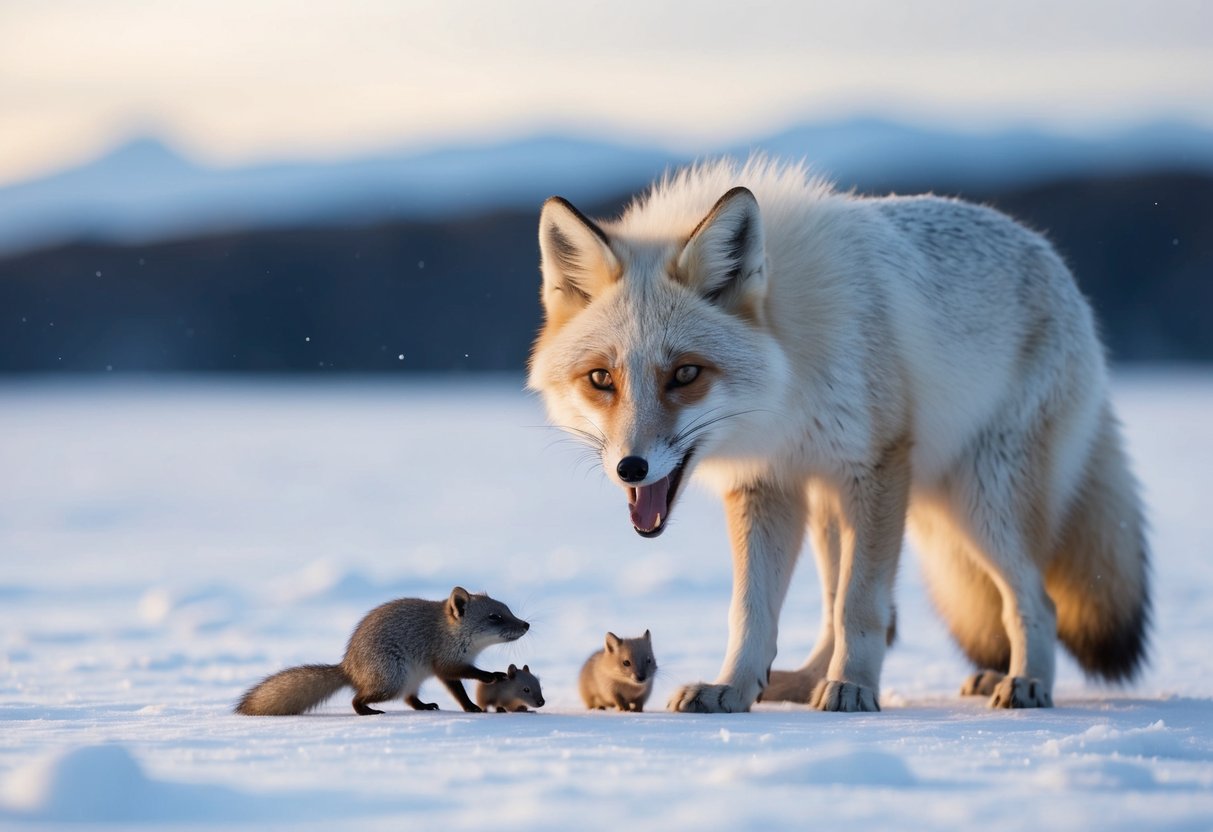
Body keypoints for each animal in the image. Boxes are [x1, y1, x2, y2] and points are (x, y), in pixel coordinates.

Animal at [527, 156, 1149, 713]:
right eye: (602, 379)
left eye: (684, 374)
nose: (629, 468)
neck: (786, 386)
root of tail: (1054, 262)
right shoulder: (767, 484)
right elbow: (751, 612)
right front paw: (733, 688)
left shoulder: (875, 466)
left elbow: (862, 605)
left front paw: (853, 687)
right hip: (835, 504)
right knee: (840, 612)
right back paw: (805, 682)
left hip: (981, 502)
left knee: (1035, 601)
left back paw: (1025, 683)